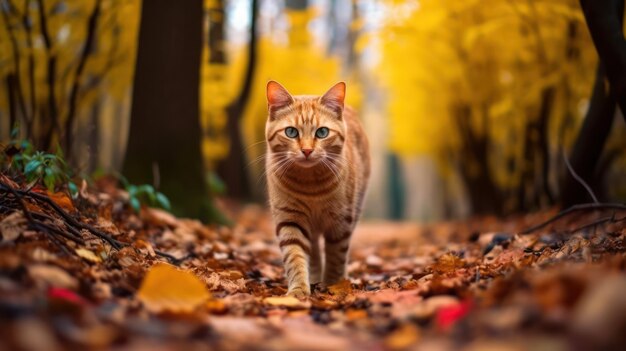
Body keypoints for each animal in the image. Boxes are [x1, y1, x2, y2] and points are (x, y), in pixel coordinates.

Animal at [264, 81, 370, 298]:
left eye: (322, 132)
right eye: (291, 132)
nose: (307, 150)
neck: (310, 185)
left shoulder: (341, 222)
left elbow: (336, 256)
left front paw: (334, 285)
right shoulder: (290, 220)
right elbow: (295, 256)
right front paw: (298, 290)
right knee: (312, 252)